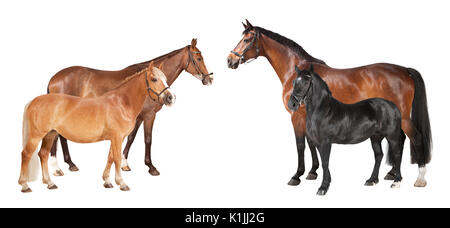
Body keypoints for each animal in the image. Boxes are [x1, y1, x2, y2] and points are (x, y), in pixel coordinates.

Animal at [18, 61, 172, 192]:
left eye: (165, 79)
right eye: (154, 79)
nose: (170, 97)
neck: (122, 103)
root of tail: (34, 101)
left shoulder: (116, 138)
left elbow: (110, 157)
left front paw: (107, 181)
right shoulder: (117, 137)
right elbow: (117, 158)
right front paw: (122, 183)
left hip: (50, 134)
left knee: (43, 154)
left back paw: (50, 183)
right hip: (36, 135)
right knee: (26, 154)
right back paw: (25, 185)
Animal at [47, 38, 213, 175]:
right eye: (199, 58)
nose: (209, 79)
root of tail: (54, 79)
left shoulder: (138, 118)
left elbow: (131, 138)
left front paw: (124, 164)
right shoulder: (149, 115)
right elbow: (148, 139)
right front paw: (151, 167)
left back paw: (70, 164)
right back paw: (57, 168)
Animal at [288, 65, 404, 195]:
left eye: (306, 82)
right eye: (294, 82)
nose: (292, 104)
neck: (322, 110)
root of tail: (394, 106)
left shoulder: (326, 142)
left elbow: (325, 162)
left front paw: (323, 188)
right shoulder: (318, 143)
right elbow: (324, 161)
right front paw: (327, 183)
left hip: (392, 137)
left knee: (397, 154)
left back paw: (396, 181)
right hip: (375, 138)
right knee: (379, 155)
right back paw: (372, 180)